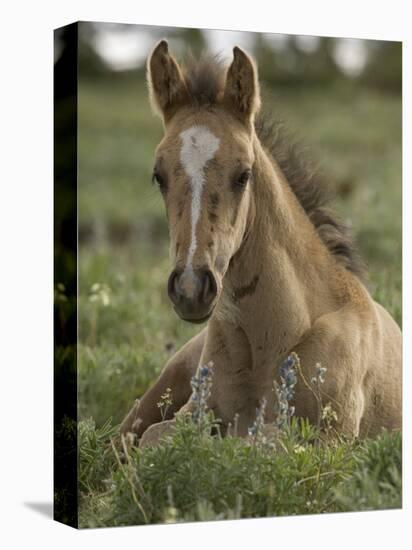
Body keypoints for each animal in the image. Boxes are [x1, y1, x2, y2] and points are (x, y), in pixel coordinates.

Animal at [120, 41, 400, 446]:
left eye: (243, 174)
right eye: (158, 175)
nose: (191, 288)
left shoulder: (330, 438)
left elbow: (257, 444)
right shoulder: (193, 413)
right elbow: (156, 439)